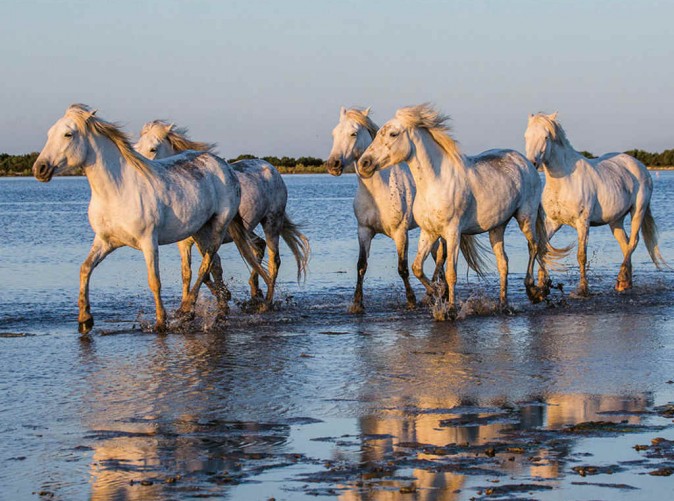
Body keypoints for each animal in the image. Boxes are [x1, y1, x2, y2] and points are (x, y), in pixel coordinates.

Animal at [32, 104, 267, 334]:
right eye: (49, 133)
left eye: (68, 134)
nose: (39, 169)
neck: (117, 191)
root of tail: (225, 167)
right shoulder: (105, 241)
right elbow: (85, 268)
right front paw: (85, 319)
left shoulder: (148, 242)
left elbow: (155, 281)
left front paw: (161, 322)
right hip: (200, 230)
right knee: (212, 265)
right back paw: (215, 309)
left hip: (219, 225)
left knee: (207, 263)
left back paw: (187, 308)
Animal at [135, 120, 310, 306]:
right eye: (136, 147)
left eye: (153, 149)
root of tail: (271, 168)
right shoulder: (184, 244)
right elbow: (188, 273)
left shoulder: (205, 238)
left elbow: (210, 268)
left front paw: (221, 298)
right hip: (247, 230)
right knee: (259, 247)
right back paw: (255, 292)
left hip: (272, 221)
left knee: (274, 260)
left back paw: (266, 303)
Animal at [326, 106, 487, 312]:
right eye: (334, 134)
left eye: (353, 133)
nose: (333, 165)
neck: (378, 192)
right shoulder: (364, 230)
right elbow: (361, 265)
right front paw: (357, 304)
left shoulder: (400, 232)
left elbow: (402, 267)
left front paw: (411, 300)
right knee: (437, 255)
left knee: (441, 256)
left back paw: (435, 292)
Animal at [358, 104, 556, 318]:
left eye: (393, 134)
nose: (364, 163)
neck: (434, 183)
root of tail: (526, 162)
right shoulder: (428, 232)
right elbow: (417, 267)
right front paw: (437, 293)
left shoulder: (452, 232)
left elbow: (451, 272)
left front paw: (450, 309)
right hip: (497, 227)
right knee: (503, 263)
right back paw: (503, 304)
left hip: (525, 216)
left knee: (534, 246)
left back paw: (535, 292)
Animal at [525, 112, 667, 295]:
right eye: (526, 136)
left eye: (546, 136)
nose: (532, 163)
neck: (565, 180)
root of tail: (639, 166)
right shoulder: (553, 222)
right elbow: (542, 248)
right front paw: (542, 284)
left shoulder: (583, 223)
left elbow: (581, 255)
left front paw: (582, 290)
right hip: (616, 220)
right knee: (625, 244)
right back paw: (625, 283)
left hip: (638, 211)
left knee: (633, 242)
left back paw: (621, 279)